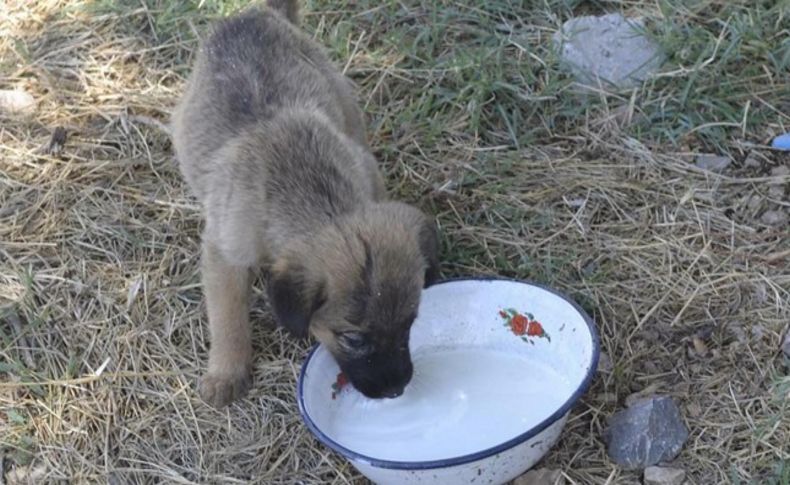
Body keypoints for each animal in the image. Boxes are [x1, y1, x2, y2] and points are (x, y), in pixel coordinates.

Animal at [172, 0, 440, 408]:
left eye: (411, 323)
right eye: (353, 338)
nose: (396, 390)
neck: (308, 190)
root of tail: (257, 13)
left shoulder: (366, 172)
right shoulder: (225, 256)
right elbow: (227, 317)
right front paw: (226, 372)